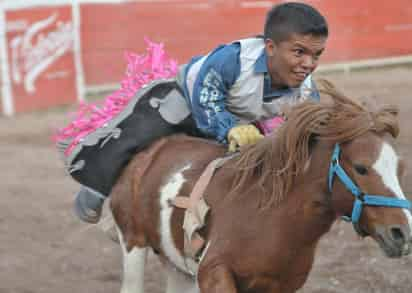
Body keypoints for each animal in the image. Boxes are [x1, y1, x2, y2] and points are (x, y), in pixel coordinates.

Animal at [109, 81, 412, 292]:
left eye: (400, 168)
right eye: (361, 167)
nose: (403, 233)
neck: (271, 217)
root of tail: (150, 151)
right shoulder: (213, 272)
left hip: (176, 264)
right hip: (133, 242)